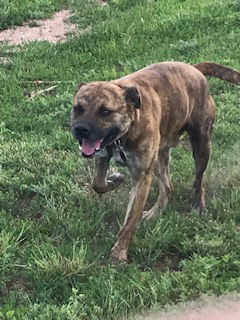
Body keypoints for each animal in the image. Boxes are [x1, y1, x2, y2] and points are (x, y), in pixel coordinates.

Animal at [71, 62, 240, 262]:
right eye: (78, 108)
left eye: (105, 111)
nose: (81, 129)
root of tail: (194, 68)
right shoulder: (103, 155)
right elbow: (98, 184)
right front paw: (115, 180)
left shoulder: (142, 178)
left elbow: (130, 221)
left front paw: (119, 252)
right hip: (160, 157)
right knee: (167, 186)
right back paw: (155, 212)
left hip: (201, 145)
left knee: (199, 180)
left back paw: (198, 205)